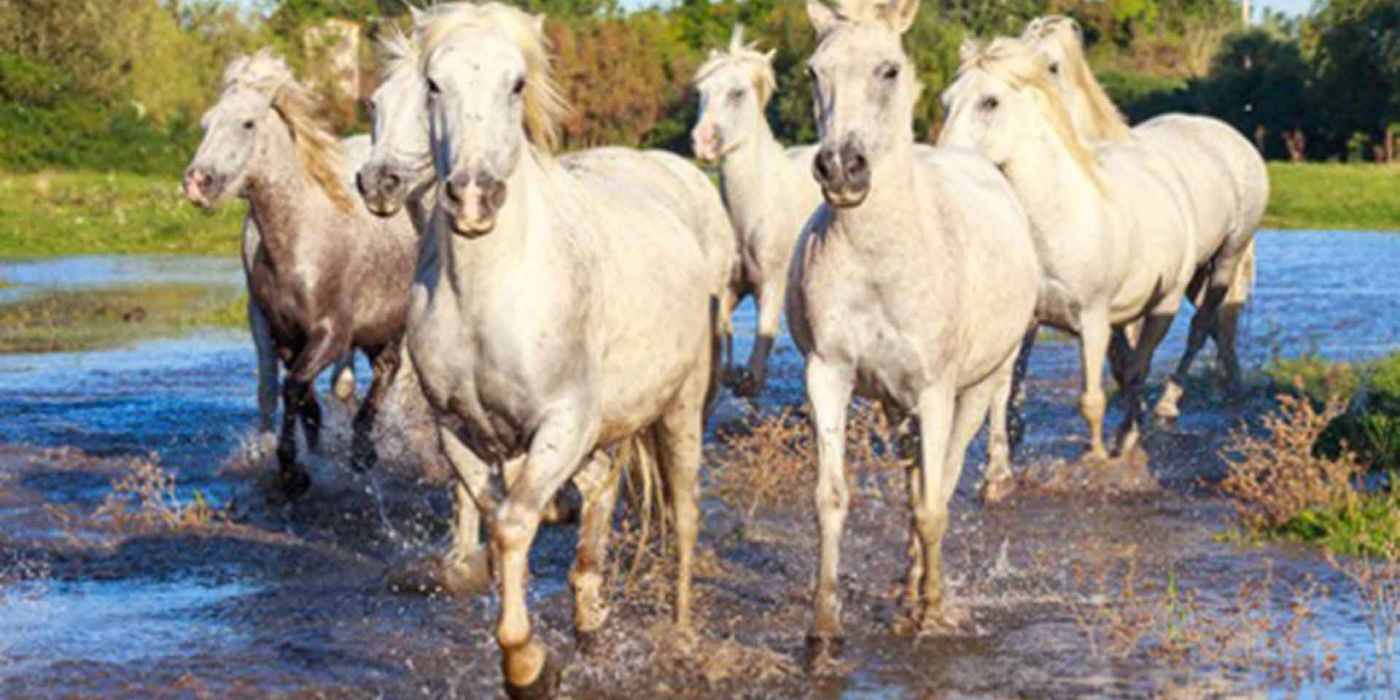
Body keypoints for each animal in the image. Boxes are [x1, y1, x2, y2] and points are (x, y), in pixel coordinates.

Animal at [183, 51, 419, 498]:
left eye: (247, 123)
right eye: (206, 123)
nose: (197, 183)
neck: (299, 241)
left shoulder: (331, 334)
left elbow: (294, 387)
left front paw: (294, 472)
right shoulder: (286, 337)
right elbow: (301, 395)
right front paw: (309, 461)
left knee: (390, 372)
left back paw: (364, 451)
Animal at [356, 7, 736, 594]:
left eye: (516, 84)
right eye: (378, 102)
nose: (379, 181)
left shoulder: (561, 419)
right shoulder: (463, 425)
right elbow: (484, 500)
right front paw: (468, 562)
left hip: (683, 402)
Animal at [789, 0, 1039, 659]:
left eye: (890, 69)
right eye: (814, 71)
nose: (841, 168)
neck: (881, 257)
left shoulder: (935, 388)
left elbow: (933, 506)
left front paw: (931, 614)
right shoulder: (829, 375)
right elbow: (831, 499)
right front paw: (824, 629)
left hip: (976, 388)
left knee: (942, 481)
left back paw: (929, 592)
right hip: (894, 403)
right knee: (914, 479)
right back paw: (906, 582)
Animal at [939, 37, 1199, 488]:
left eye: (990, 102)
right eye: (946, 101)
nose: (942, 160)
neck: (1055, 220)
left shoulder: (1092, 319)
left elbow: (1090, 400)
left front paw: (1095, 463)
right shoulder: (1023, 323)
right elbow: (1000, 396)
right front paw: (996, 475)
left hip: (1161, 306)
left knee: (1137, 371)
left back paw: (1127, 444)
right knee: (1127, 370)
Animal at [1023, 16, 1267, 421]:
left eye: (1053, 66)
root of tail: (1238, 142)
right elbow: (1119, 353)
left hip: (1229, 253)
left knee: (1202, 324)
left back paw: (1170, 402)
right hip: (1195, 270)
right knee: (1220, 326)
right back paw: (1231, 390)